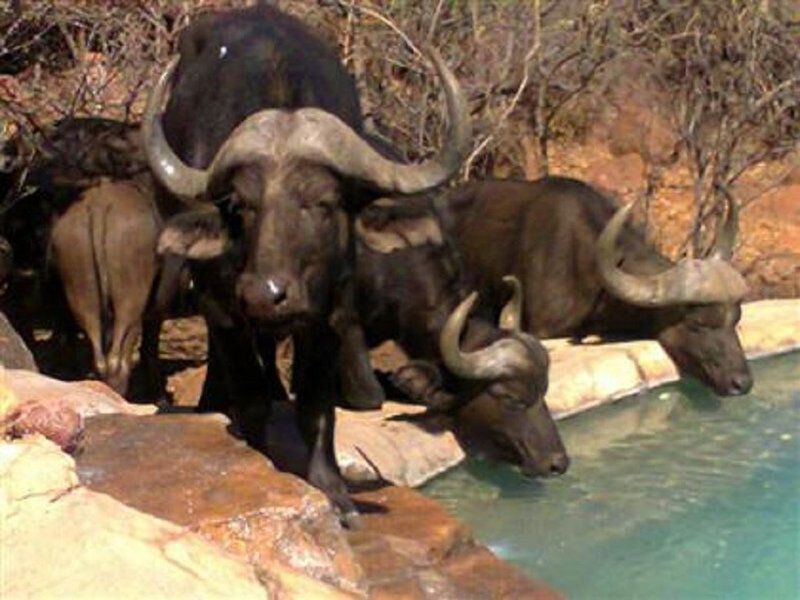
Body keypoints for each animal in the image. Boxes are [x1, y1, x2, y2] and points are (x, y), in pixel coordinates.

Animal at [141, 3, 472, 520]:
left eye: (322, 202)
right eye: (241, 205)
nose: (265, 294)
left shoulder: (332, 314)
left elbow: (317, 407)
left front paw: (333, 490)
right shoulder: (221, 305)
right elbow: (251, 397)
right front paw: (262, 459)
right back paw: (213, 399)